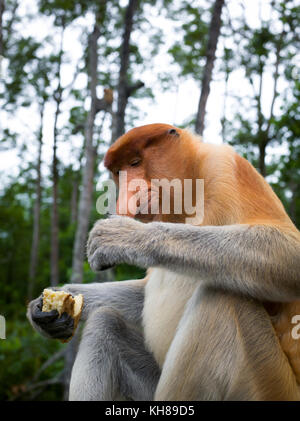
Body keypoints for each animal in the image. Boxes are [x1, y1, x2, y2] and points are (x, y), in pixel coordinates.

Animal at [27, 122, 300, 400]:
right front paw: (43, 309)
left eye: (135, 162)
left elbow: (289, 252)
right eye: (119, 172)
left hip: (268, 382)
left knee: (221, 298)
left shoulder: (226, 166)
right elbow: (142, 293)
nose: (126, 196)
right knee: (106, 324)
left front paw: (121, 237)